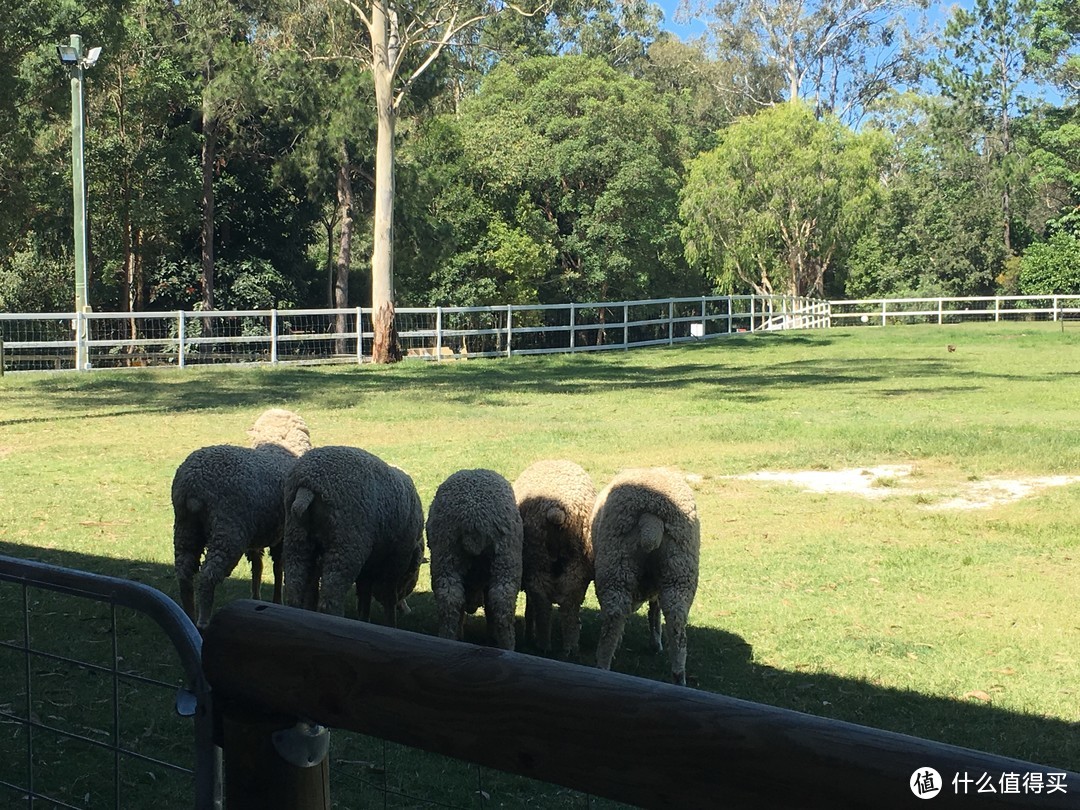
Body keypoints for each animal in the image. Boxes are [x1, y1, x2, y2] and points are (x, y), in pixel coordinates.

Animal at [170, 408, 311, 630]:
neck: (280, 447)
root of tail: (193, 486)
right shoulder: (281, 535)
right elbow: (278, 568)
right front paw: (276, 600)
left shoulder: (257, 537)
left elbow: (258, 567)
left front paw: (256, 598)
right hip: (228, 530)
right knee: (207, 576)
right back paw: (203, 620)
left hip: (186, 527)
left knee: (184, 572)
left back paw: (189, 616)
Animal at [280, 444, 423, 626]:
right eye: (413, 574)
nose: (405, 609)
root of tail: (307, 484)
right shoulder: (396, 560)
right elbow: (388, 596)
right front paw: (391, 623)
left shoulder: (369, 565)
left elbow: (364, 596)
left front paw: (364, 619)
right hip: (346, 544)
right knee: (330, 599)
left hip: (296, 538)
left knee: (294, 590)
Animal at [425, 468, 522, 652]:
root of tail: (474, 517)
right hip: (503, 557)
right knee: (500, 601)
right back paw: (507, 646)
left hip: (448, 552)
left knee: (452, 599)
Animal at [509, 460, 596, 656]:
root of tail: (557, 512)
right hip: (576, 565)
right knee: (569, 605)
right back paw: (570, 647)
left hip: (537, 559)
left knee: (543, 603)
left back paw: (542, 644)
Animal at [591, 468, 699, 686]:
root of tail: (651, 521)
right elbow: (655, 609)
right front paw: (655, 641)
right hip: (679, 569)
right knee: (676, 625)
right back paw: (679, 677)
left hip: (617, 564)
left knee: (614, 616)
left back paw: (603, 666)